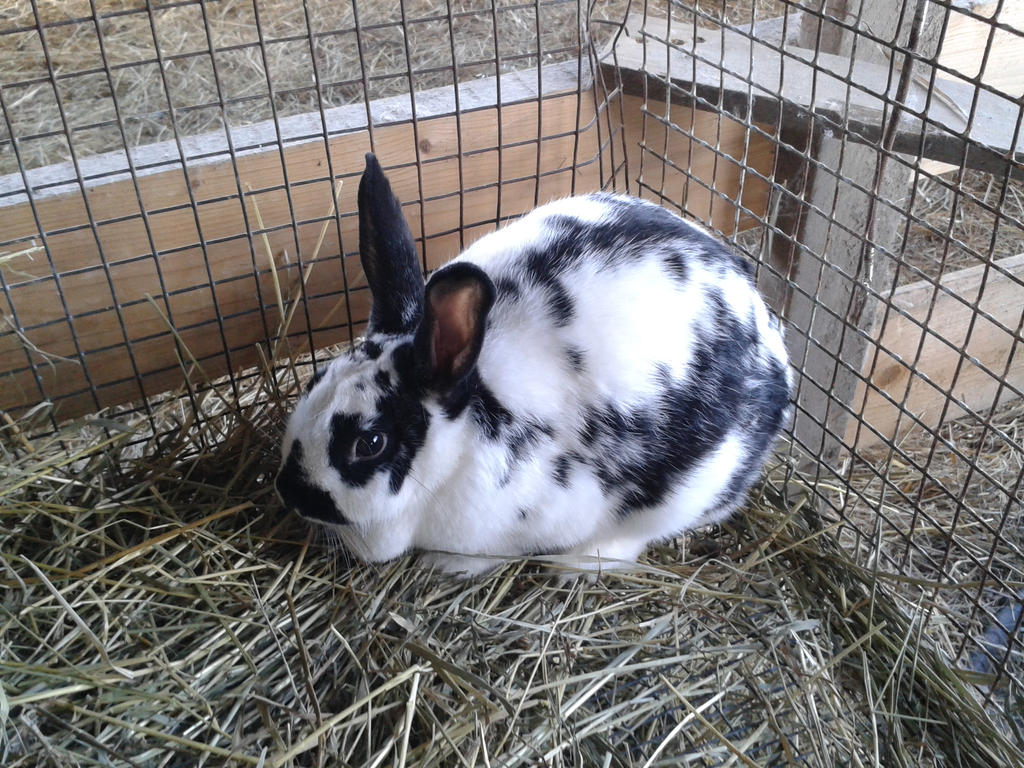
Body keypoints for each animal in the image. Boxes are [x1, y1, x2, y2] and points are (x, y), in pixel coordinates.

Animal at [275, 153, 792, 576]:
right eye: (315, 380)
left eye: (370, 443)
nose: (288, 491)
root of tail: (776, 355)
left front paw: (449, 565)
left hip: (685, 491)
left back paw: (578, 565)